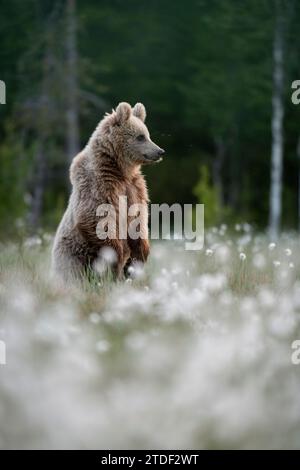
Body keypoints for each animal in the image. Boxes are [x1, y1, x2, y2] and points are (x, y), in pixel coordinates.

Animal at [51, 102, 164, 282]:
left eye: (148, 134)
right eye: (140, 137)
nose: (160, 151)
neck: (120, 170)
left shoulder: (134, 188)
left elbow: (138, 218)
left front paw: (139, 256)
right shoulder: (99, 186)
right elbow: (98, 218)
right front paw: (117, 258)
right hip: (74, 255)